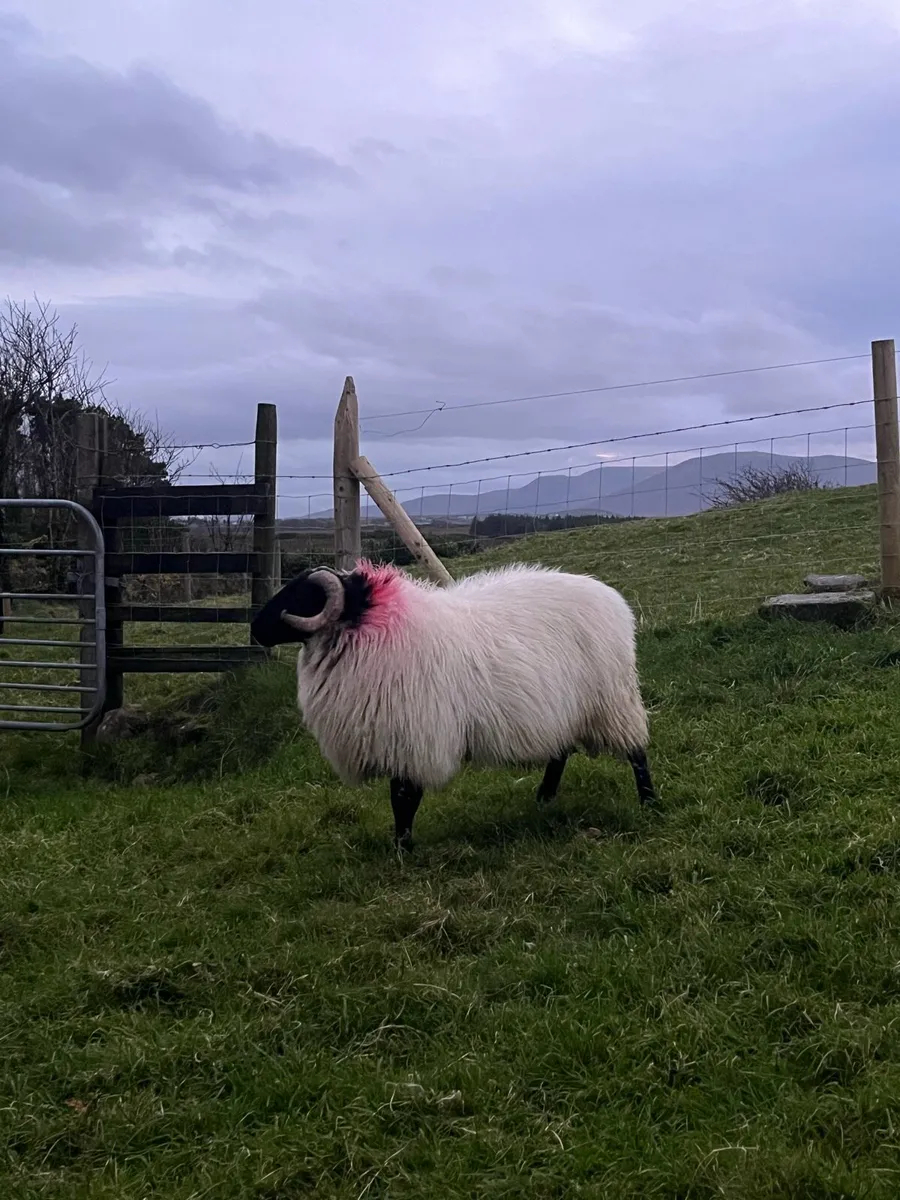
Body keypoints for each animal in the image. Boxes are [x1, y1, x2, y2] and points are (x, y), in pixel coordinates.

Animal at [250, 559, 656, 849]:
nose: (255, 629)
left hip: (613, 701)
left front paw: (402, 848)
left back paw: (649, 802)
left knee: (636, 753)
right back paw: (544, 798)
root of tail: (612, 598)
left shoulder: (413, 737)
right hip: (563, 711)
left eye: (305, 597)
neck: (370, 626)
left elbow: (403, 797)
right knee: (559, 755)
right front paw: (400, 844)